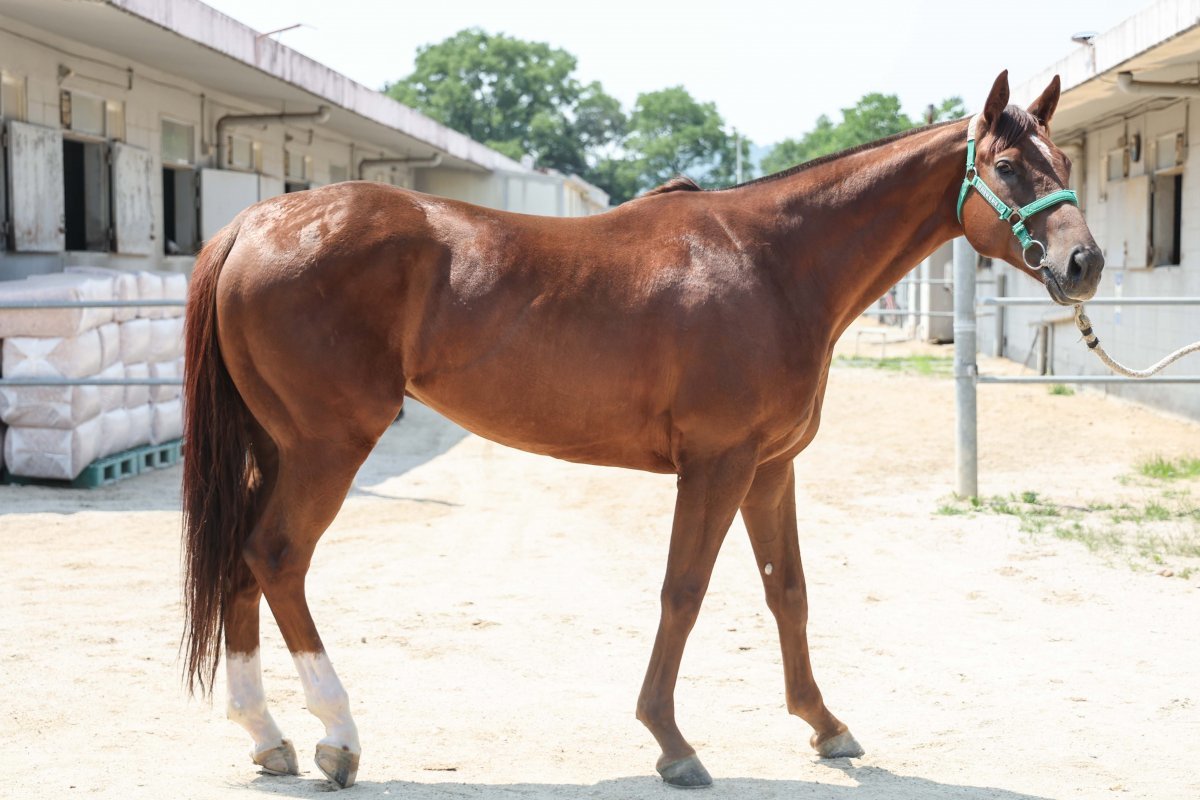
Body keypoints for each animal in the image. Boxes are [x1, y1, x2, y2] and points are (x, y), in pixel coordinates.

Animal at [180, 71, 1104, 791]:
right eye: (1008, 166)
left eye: (1064, 164)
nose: (1084, 264)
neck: (771, 262)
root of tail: (253, 225)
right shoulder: (718, 465)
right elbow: (684, 591)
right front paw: (672, 742)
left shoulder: (771, 468)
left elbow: (788, 592)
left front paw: (825, 725)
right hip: (330, 445)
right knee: (278, 556)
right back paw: (338, 737)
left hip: (278, 446)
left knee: (241, 559)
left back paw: (268, 738)